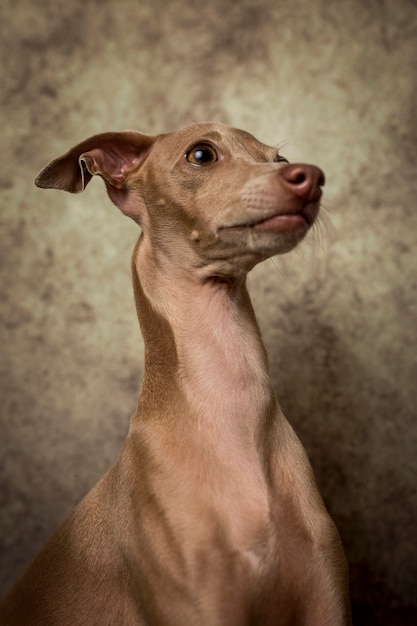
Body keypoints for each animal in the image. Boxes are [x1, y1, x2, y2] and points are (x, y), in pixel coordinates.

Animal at [0, 123, 352, 624]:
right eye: (201, 154)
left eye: (279, 159)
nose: (312, 177)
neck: (231, 409)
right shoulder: (197, 604)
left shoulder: (326, 599)